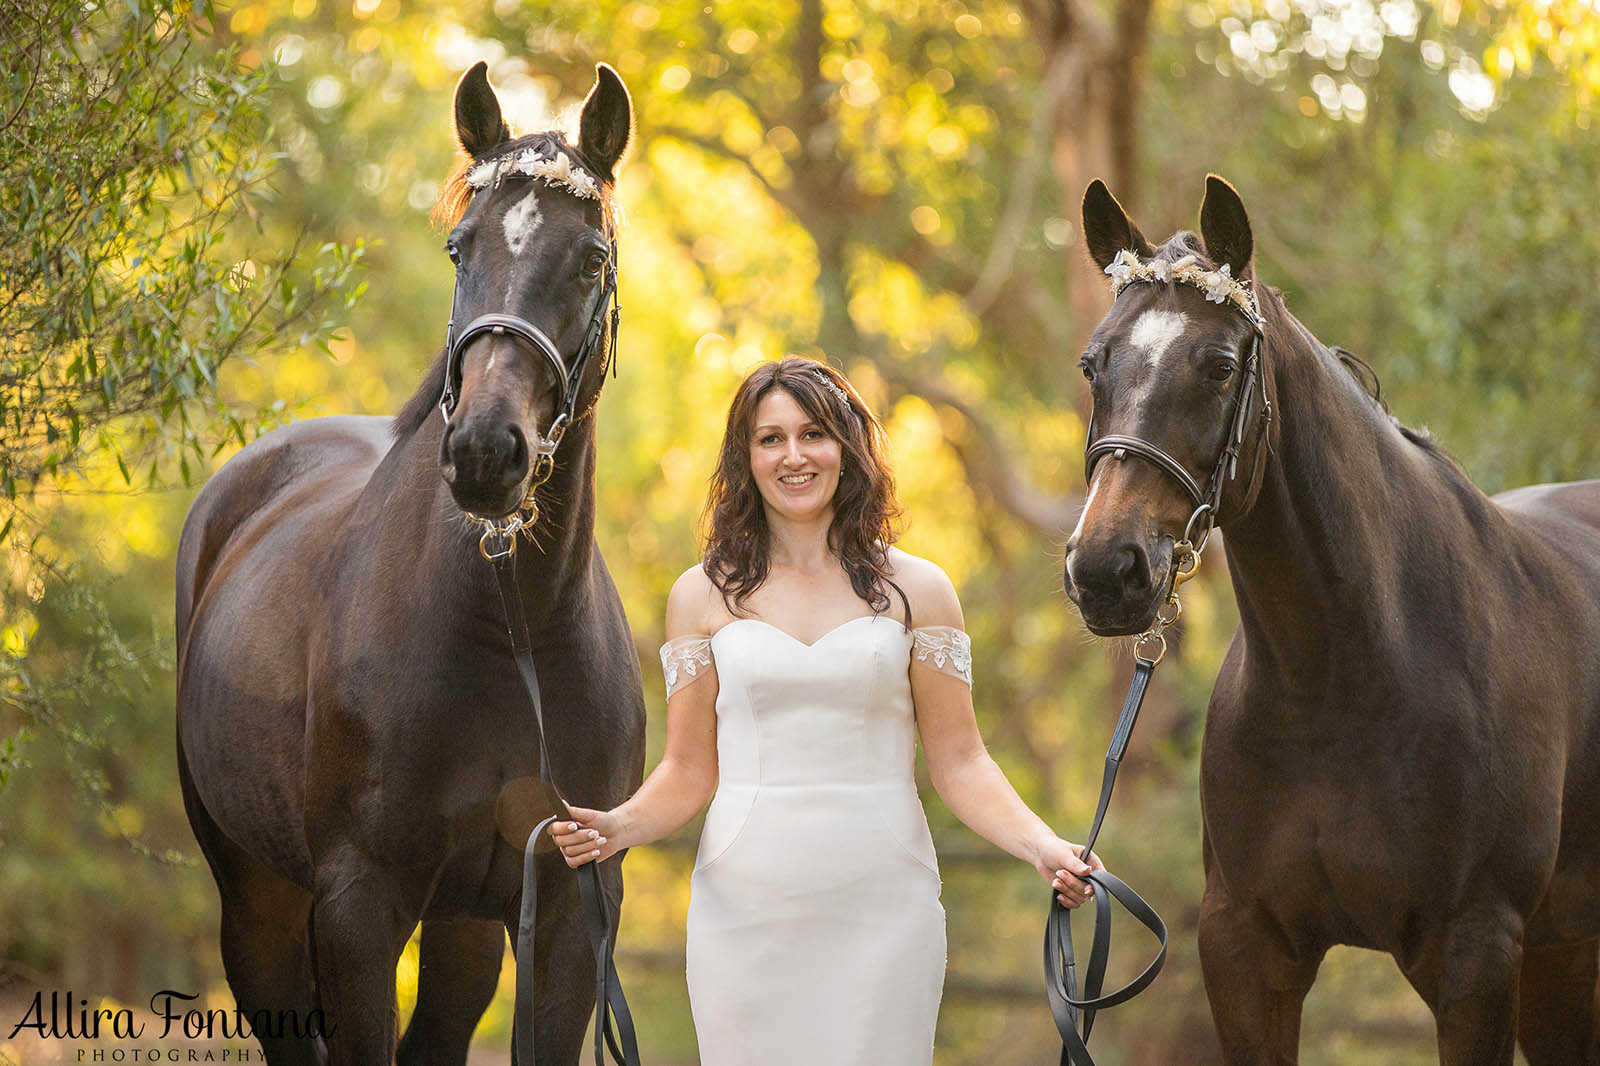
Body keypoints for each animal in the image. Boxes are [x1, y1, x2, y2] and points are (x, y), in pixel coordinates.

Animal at [176, 62, 643, 1056]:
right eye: (460, 249)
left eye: (591, 257)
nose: (486, 452)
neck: (508, 628)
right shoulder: (359, 906)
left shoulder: (570, 911)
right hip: (258, 901)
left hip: (463, 925)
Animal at [1062, 176, 1600, 1062]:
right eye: (1092, 362)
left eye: (1218, 366)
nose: (1107, 570)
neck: (1339, 680)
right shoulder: (1245, 950)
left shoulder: (1476, 954)